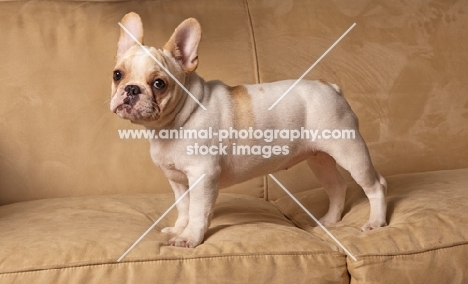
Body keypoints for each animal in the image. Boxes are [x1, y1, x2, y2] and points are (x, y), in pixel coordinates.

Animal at [110, 12, 388, 248]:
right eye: (117, 75)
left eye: (159, 84)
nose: (132, 89)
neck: (173, 123)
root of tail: (329, 87)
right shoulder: (178, 180)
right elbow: (184, 208)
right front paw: (179, 229)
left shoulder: (202, 176)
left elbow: (198, 211)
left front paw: (189, 238)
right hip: (319, 158)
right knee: (337, 186)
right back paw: (330, 221)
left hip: (349, 150)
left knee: (376, 185)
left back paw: (375, 222)